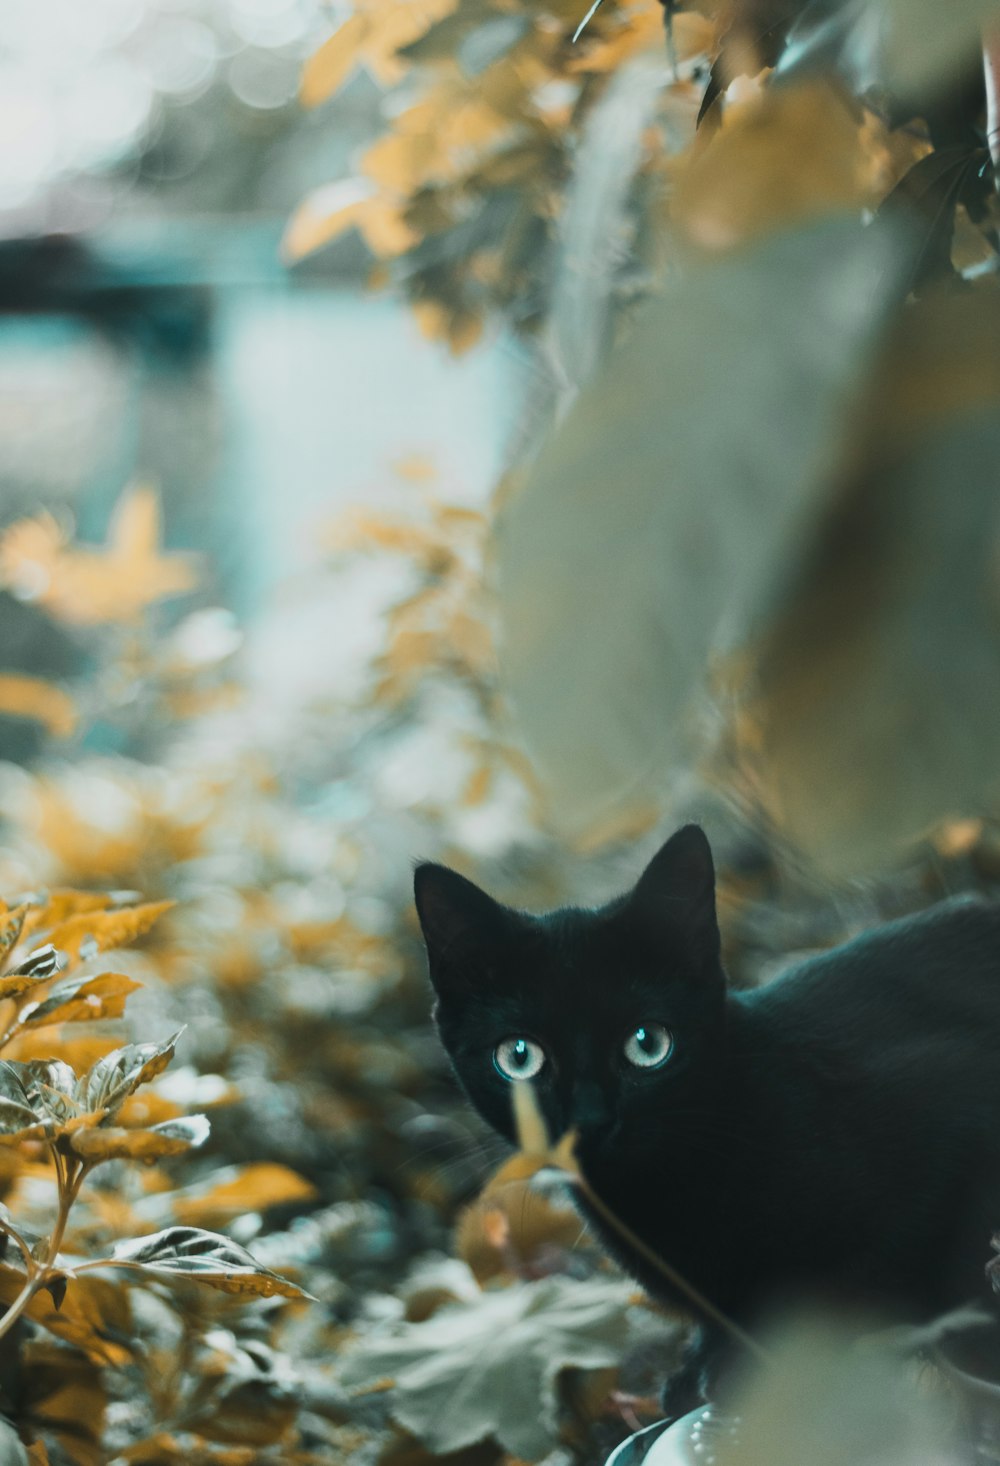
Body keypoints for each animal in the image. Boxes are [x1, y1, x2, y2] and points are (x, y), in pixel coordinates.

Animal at [413, 826, 1000, 1407]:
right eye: (519, 1057)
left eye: (647, 1044)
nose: (592, 1119)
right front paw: (702, 1365)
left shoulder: (957, 1103)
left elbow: (852, 1282)